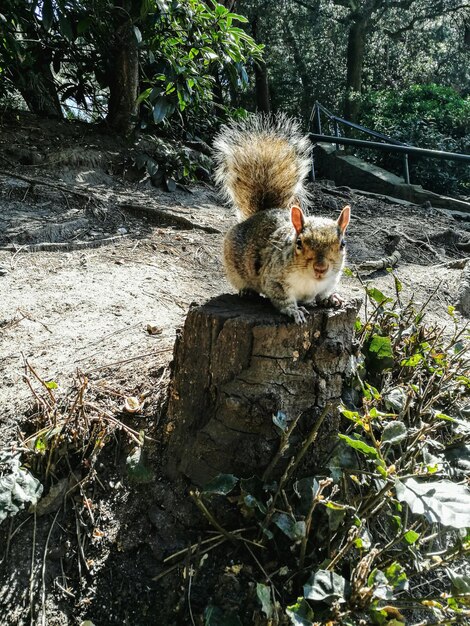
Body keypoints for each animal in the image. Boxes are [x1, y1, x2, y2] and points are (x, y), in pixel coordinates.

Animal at [213, 114, 348, 324]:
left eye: (342, 244)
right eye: (299, 243)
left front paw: (332, 298)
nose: (321, 268)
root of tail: (262, 212)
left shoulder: (330, 281)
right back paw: (248, 291)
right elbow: (282, 298)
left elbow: (323, 294)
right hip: (234, 267)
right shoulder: (274, 278)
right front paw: (294, 311)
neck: (310, 281)